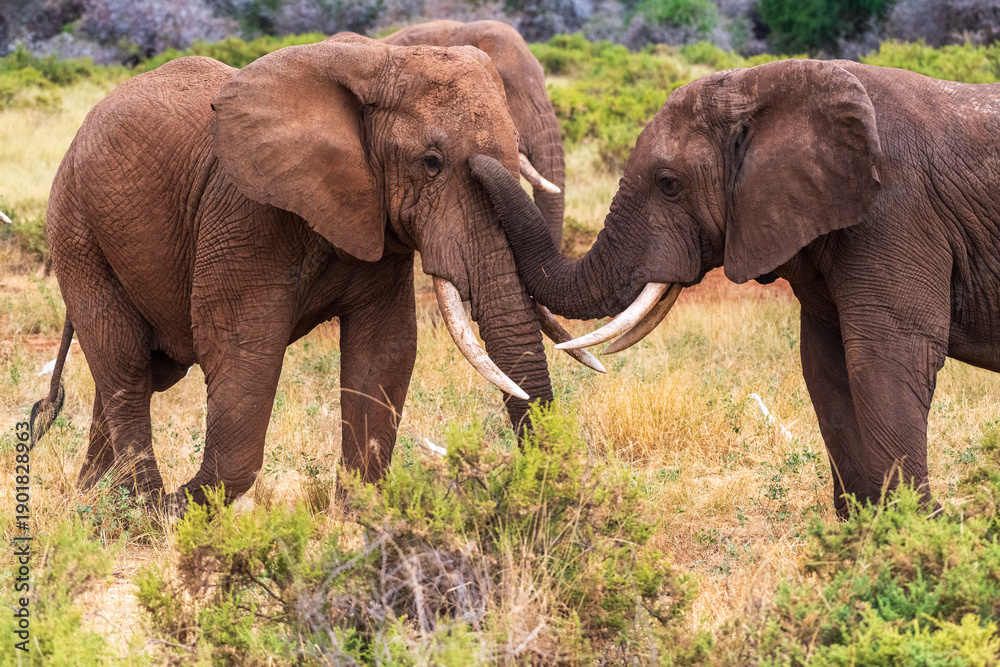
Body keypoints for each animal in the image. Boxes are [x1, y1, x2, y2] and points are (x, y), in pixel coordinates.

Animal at [28, 35, 603, 509]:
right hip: (76, 226)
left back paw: (93, 504)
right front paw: (183, 506)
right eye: (431, 162)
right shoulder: (247, 213)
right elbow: (240, 348)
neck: (378, 60)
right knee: (124, 361)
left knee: (141, 371)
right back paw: (140, 509)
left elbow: (385, 349)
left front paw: (359, 515)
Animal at [482, 58, 1000, 517]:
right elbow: (824, 365)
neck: (764, 85)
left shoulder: (896, 214)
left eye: (668, 184)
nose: (476, 160)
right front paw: (866, 527)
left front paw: (914, 528)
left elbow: (887, 357)